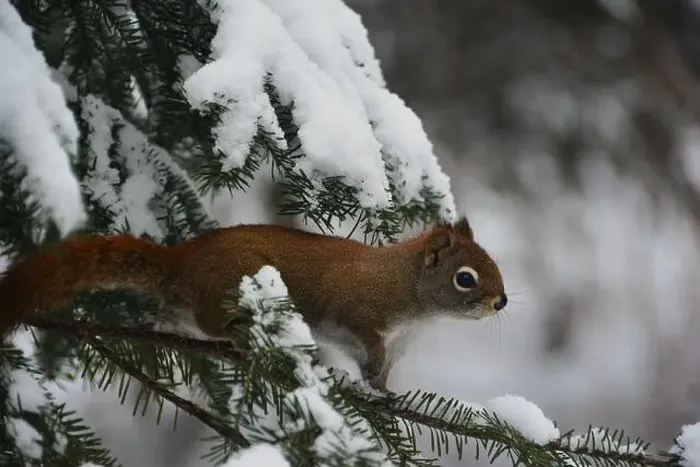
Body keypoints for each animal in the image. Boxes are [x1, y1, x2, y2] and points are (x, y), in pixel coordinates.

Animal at [0, 217, 507, 389]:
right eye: (465, 279)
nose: (501, 301)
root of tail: (184, 263)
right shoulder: (360, 315)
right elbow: (367, 349)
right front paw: (371, 385)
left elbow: (384, 372)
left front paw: (384, 391)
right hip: (235, 284)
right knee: (212, 321)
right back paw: (240, 336)